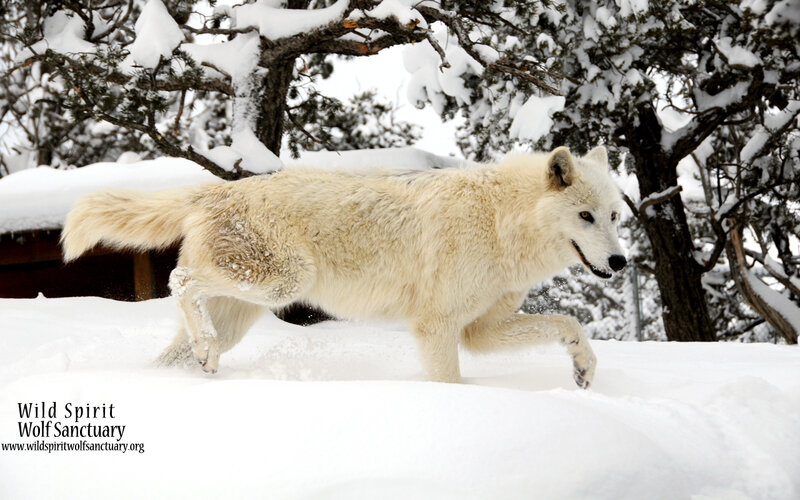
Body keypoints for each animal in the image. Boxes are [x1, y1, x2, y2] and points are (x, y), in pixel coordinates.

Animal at [61, 145, 625, 388]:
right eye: (585, 216)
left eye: (615, 216)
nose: (620, 261)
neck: (498, 219)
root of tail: (219, 188)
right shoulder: (436, 328)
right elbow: (451, 384)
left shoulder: (478, 331)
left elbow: (569, 324)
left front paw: (584, 368)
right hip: (281, 283)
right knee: (179, 280)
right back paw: (203, 352)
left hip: (243, 311)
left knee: (174, 349)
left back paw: (197, 364)